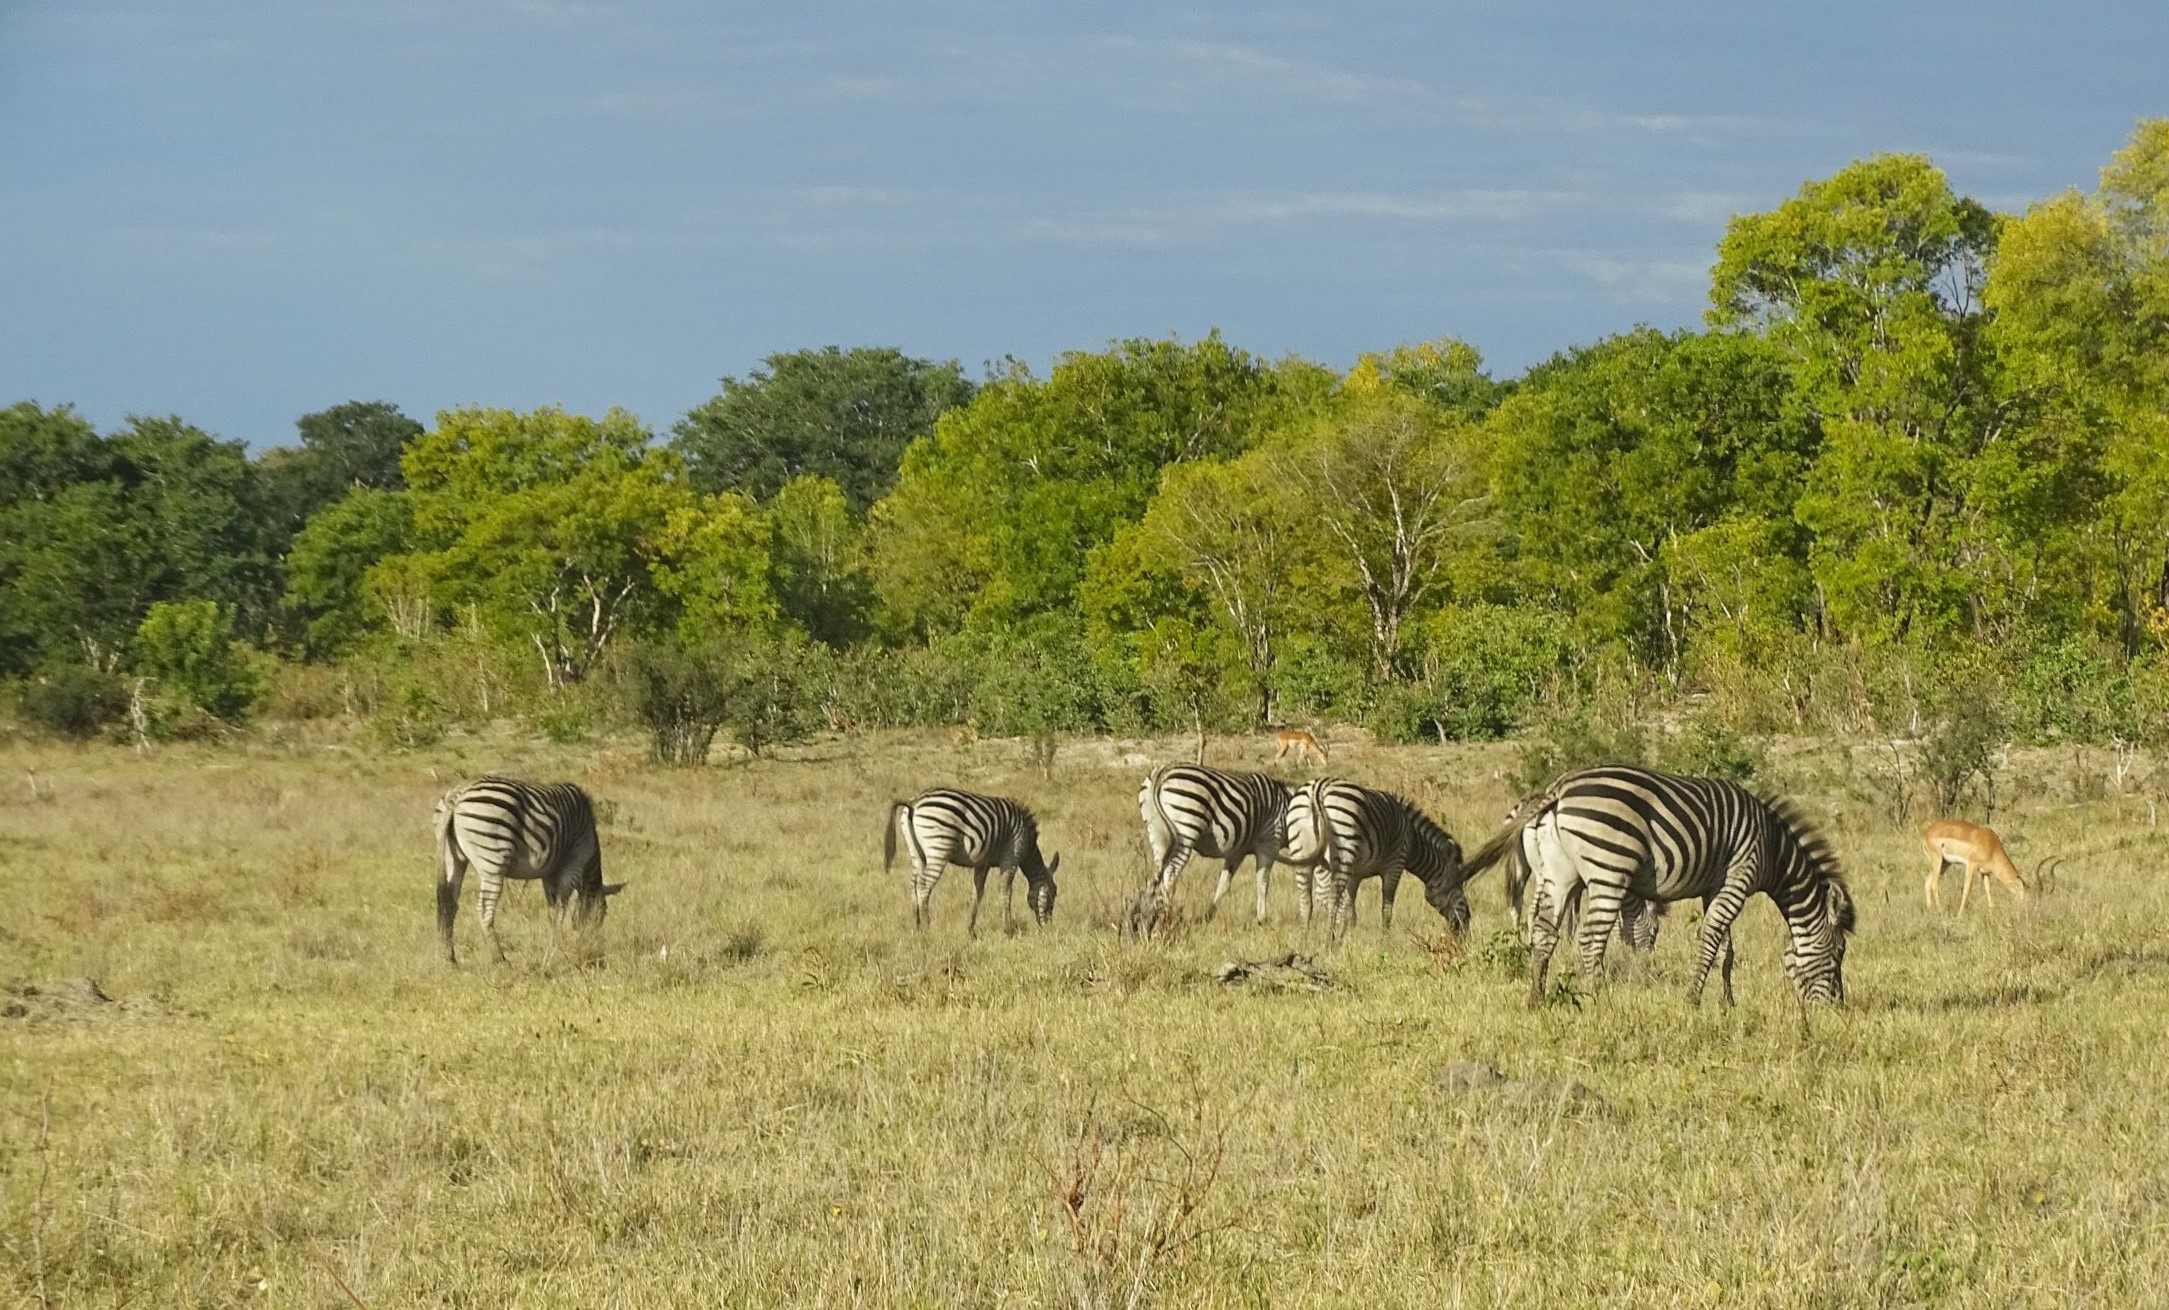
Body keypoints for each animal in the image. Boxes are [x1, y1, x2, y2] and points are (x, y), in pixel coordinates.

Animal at [431, 772, 620, 967]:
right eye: (601, 915)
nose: (593, 950)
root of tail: (458, 794)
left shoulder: (549, 873)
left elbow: (552, 911)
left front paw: (553, 948)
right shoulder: (573, 864)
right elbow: (560, 911)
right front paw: (554, 953)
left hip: (453, 855)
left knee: (447, 903)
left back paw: (449, 959)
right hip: (493, 856)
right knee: (484, 909)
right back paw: (500, 959)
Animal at [876, 789, 1054, 932]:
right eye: (1054, 894)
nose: (1048, 927)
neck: (1027, 843)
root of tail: (914, 802)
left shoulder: (983, 863)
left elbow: (977, 894)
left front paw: (971, 930)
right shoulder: (1011, 857)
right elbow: (1005, 891)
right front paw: (1008, 929)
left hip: (916, 852)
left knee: (914, 883)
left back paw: (917, 926)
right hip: (938, 847)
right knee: (924, 885)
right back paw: (928, 928)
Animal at [1136, 763, 1301, 936]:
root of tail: (1162, 772)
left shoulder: (1238, 851)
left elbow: (1223, 884)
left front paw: (1208, 916)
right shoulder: (1269, 843)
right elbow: (1262, 883)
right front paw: (1262, 919)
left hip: (1157, 833)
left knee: (1156, 876)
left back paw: (1148, 920)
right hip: (1187, 828)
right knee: (1170, 873)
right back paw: (1164, 921)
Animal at [1284, 776, 1474, 941]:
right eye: (1459, 886)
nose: (1467, 923)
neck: (1412, 839)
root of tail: (1318, 789)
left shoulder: (1355, 875)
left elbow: (1349, 908)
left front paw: (1346, 938)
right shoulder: (1395, 863)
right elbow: (1386, 907)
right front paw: (1384, 941)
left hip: (1303, 853)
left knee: (1306, 902)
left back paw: (1304, 942)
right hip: (1342, 848)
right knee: (1331, 899)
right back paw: (1327, 942)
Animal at [1466, 763, 1856, 1006]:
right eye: (1839, 953)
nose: (1836, 1007)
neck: (1774, 849)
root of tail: (1557, 790)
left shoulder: (1715, 887)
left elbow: (1725, 948)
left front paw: (1727, 1002)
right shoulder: (1737, 879)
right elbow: (1710, 940)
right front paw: (1694, 998)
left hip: (1559, 874)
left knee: (1544, 932)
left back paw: (1536, 998)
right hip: (1609, 869)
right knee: (1590, 939)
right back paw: (1600, 1001)